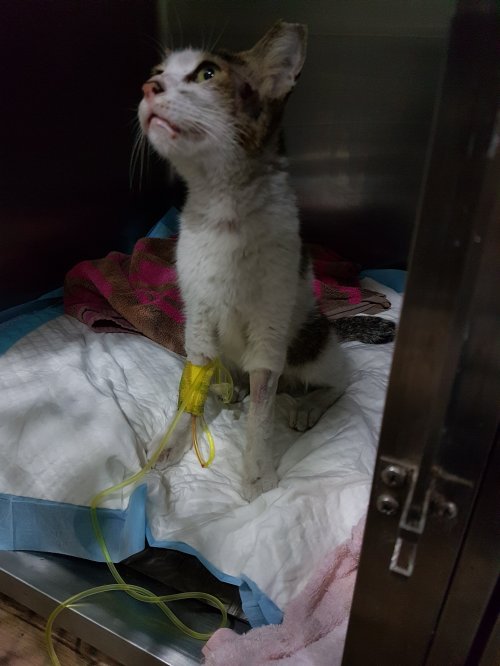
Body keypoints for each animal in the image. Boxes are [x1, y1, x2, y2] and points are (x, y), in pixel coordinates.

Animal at [138, 21, 394, 499]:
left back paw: (305, 404)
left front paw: (257, 473)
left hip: (309, 341)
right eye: (158, 71)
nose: (149, 87)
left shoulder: (269, 326)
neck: (223, 215)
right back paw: (231, 388)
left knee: (339, 377)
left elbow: (262, 405)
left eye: (207, 73)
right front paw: (175, 438)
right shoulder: (197, 316)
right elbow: (191, 386)